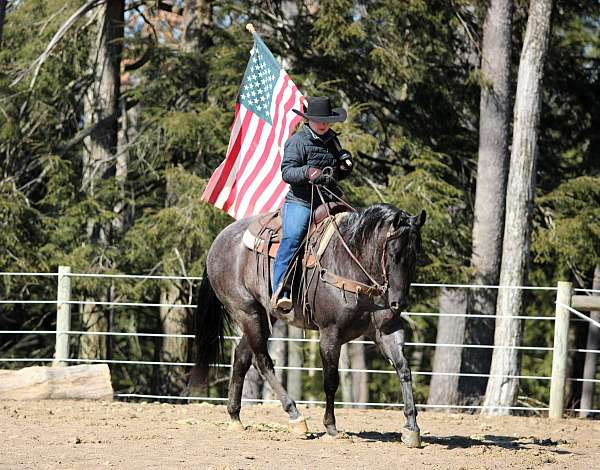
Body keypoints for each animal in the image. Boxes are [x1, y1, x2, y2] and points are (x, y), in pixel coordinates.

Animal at [190, 204, 424, 446]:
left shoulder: (387, 331)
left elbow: (404, 369)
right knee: (263, 362)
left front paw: (411, 427)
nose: (398, 303)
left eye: (416, 255)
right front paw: (330, 427)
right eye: (393, 254)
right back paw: (295, 416)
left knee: (242, 357)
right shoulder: (330, 334)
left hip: (264, 316)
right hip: (247, 312)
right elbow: (330, 380)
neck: (353, 264)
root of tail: (219, 241)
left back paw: (235, 416)